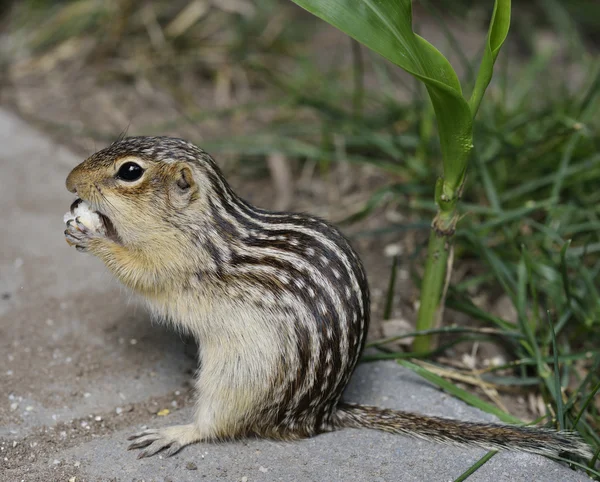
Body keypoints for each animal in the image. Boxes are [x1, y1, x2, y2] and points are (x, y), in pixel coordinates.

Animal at [64, 136, 592, 460]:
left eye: (129, 172)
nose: (69, 181)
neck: (204, 223)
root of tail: (319, 416)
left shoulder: (180, 264)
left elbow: (142, 275)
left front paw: (93, 236)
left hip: (239, 376)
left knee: (221, 423)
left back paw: (177, 431)